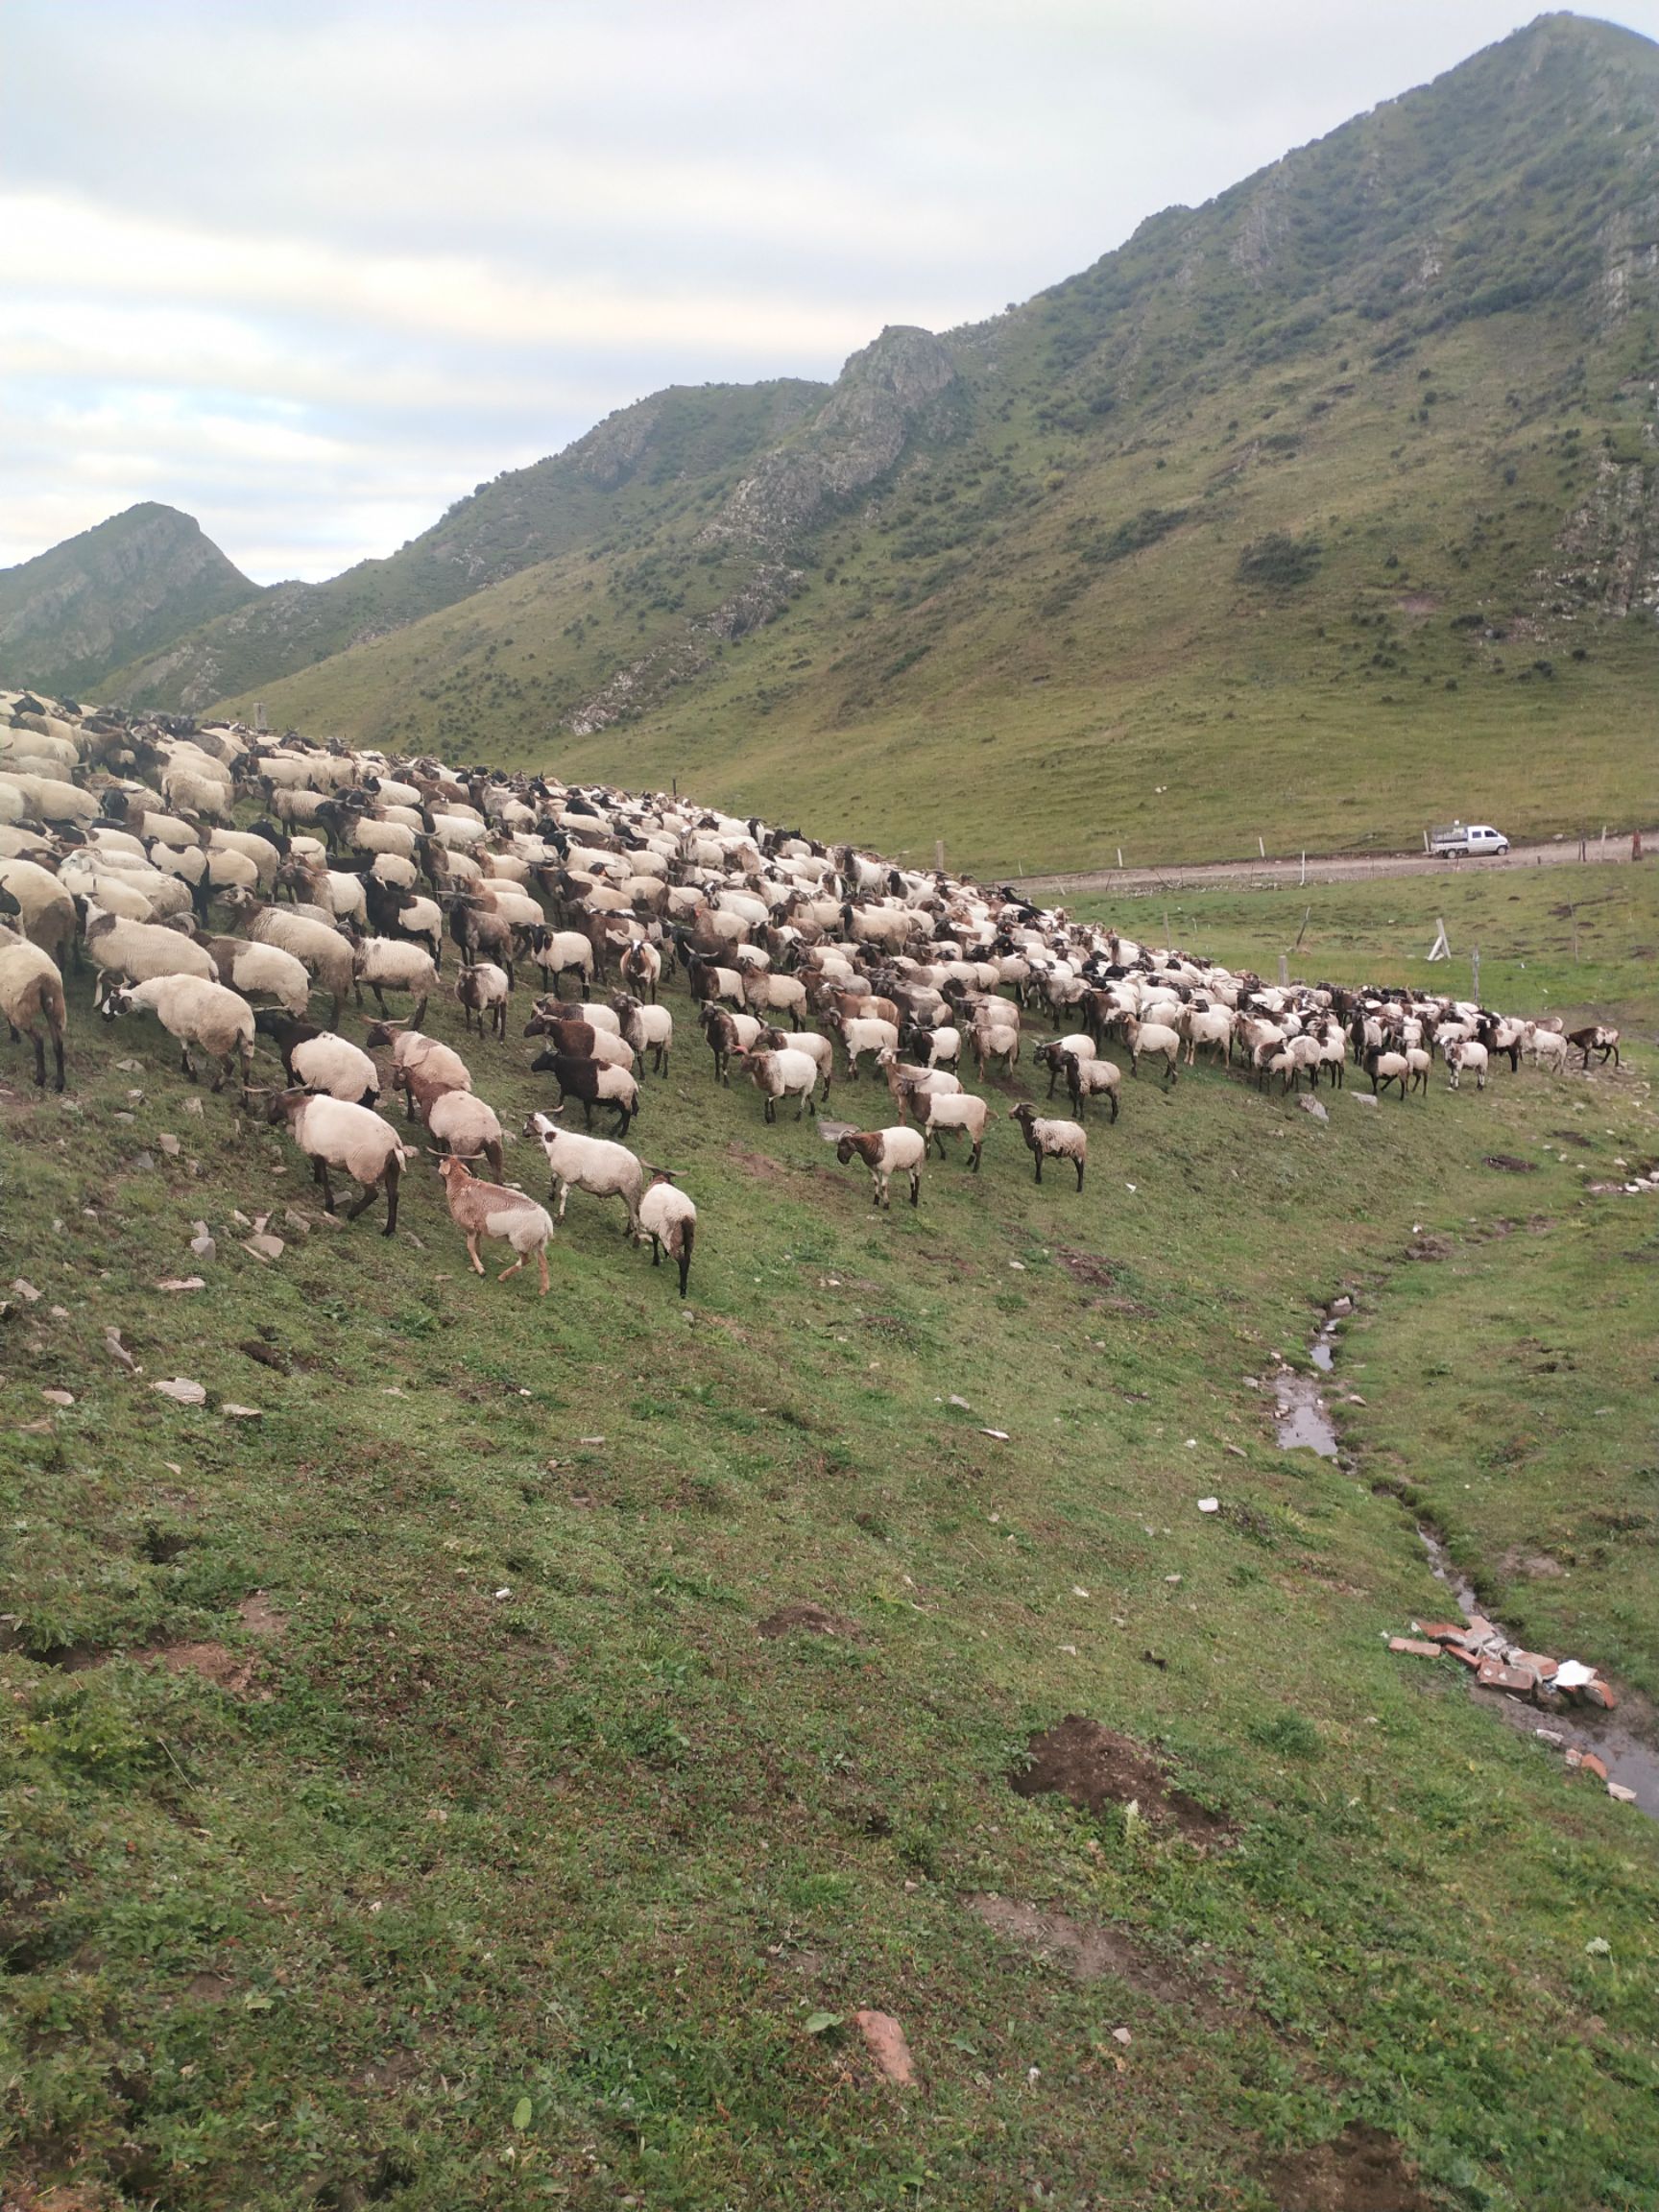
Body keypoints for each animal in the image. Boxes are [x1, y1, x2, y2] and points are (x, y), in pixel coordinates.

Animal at [104, 981, 256, 1093]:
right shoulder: (189, 1031)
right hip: (246, 1045)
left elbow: (186, 1050)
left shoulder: (180, 1029)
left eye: (112, 1000)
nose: (103, 1016)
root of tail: (244, 1020)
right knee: (246, 1072)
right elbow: (187, 1050)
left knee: (229, 1066)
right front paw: (186, 1068)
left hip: (215, 1040)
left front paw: (191, 1074)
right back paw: (244, 1102)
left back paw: (216, 1088)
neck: (158, 995)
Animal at [435, 1159, 553, 1291]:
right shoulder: (478, 1227)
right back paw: (543, 1290)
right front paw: (479, 1256)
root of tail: (546, 1221)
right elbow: (477, 1242)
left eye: (443, 1163)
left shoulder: (470, 1226)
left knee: (525, 1260)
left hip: (521, 1240)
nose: (439, 1161)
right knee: (543, 1263)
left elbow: (470, 1246)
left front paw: (480, 1269)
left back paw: (502, 1277)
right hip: (537, 1243)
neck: (460, 1185)